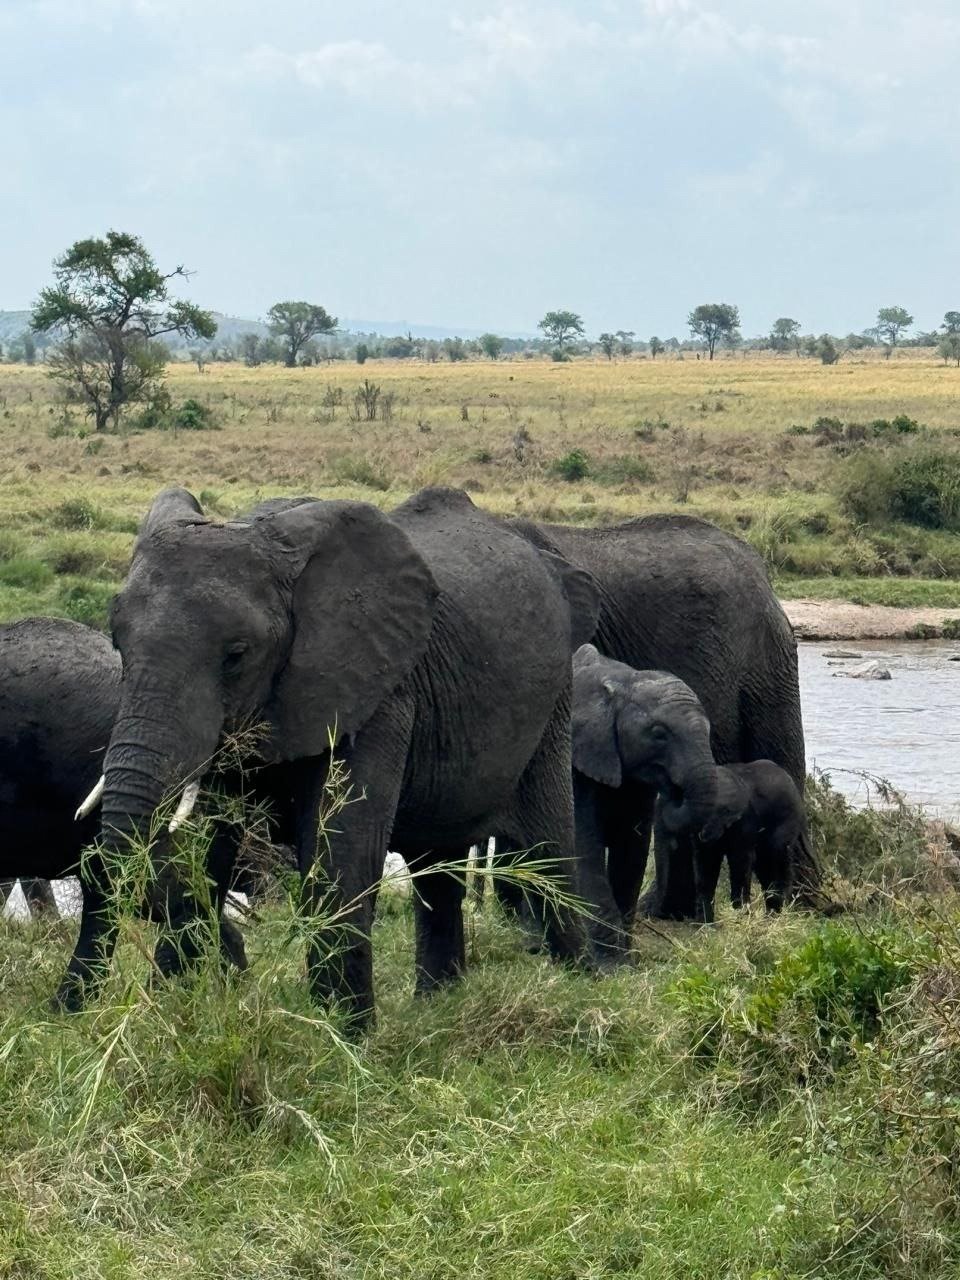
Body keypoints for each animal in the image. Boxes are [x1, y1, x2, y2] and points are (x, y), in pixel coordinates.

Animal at [86, 483, 601, 1024]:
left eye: (237, 655)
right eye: (117, 642)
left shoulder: (378, 692)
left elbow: (342, 855)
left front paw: (338, 1034)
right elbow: (208, 849)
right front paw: (172, 1012)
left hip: (553, 705)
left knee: (548, 853)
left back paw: (580, 990)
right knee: (437, 869)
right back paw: (438, 1006)